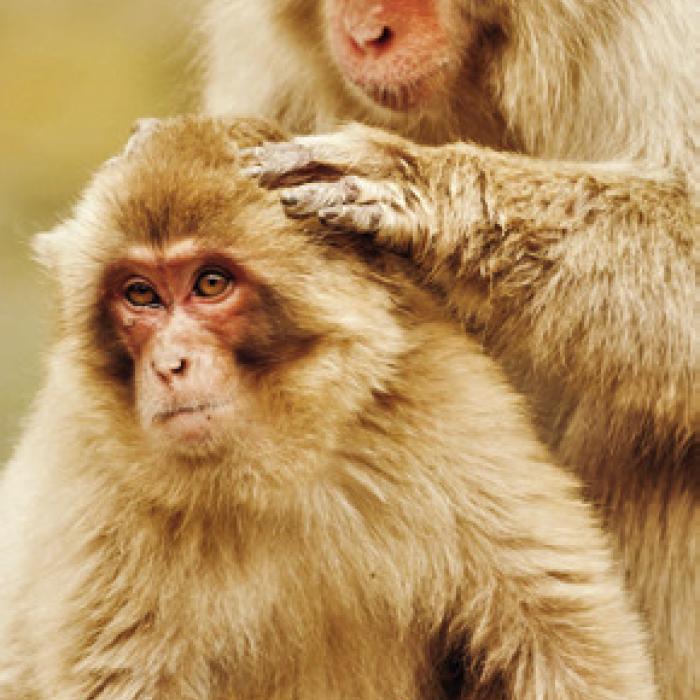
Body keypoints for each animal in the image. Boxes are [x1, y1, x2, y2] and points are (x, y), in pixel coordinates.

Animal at [0, 115, 659, 700]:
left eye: (211, 284)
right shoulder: (95, 488)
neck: (279, 468)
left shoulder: (452, 411)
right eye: (139, 294)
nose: (169, 364)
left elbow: (561, 630)